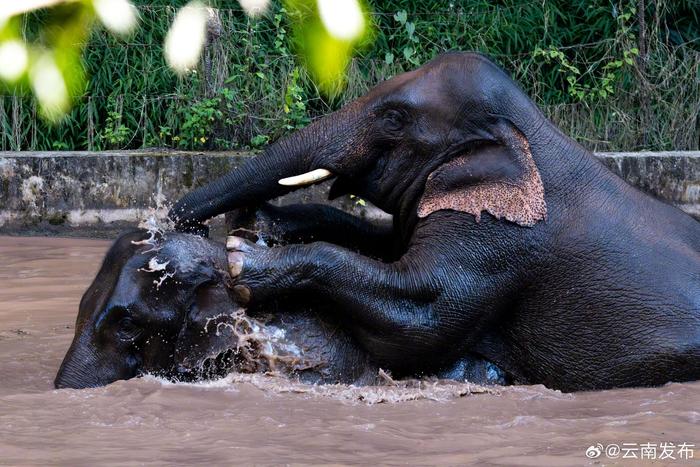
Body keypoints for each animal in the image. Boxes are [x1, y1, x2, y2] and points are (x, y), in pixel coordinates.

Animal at [171, 51, 700, 392]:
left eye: (394, 118)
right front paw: (260, 222)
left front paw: (243, 258)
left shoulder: (502, 240)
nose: (174, 222)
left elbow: (421, 318)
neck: (531, 130)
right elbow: (382, 239)